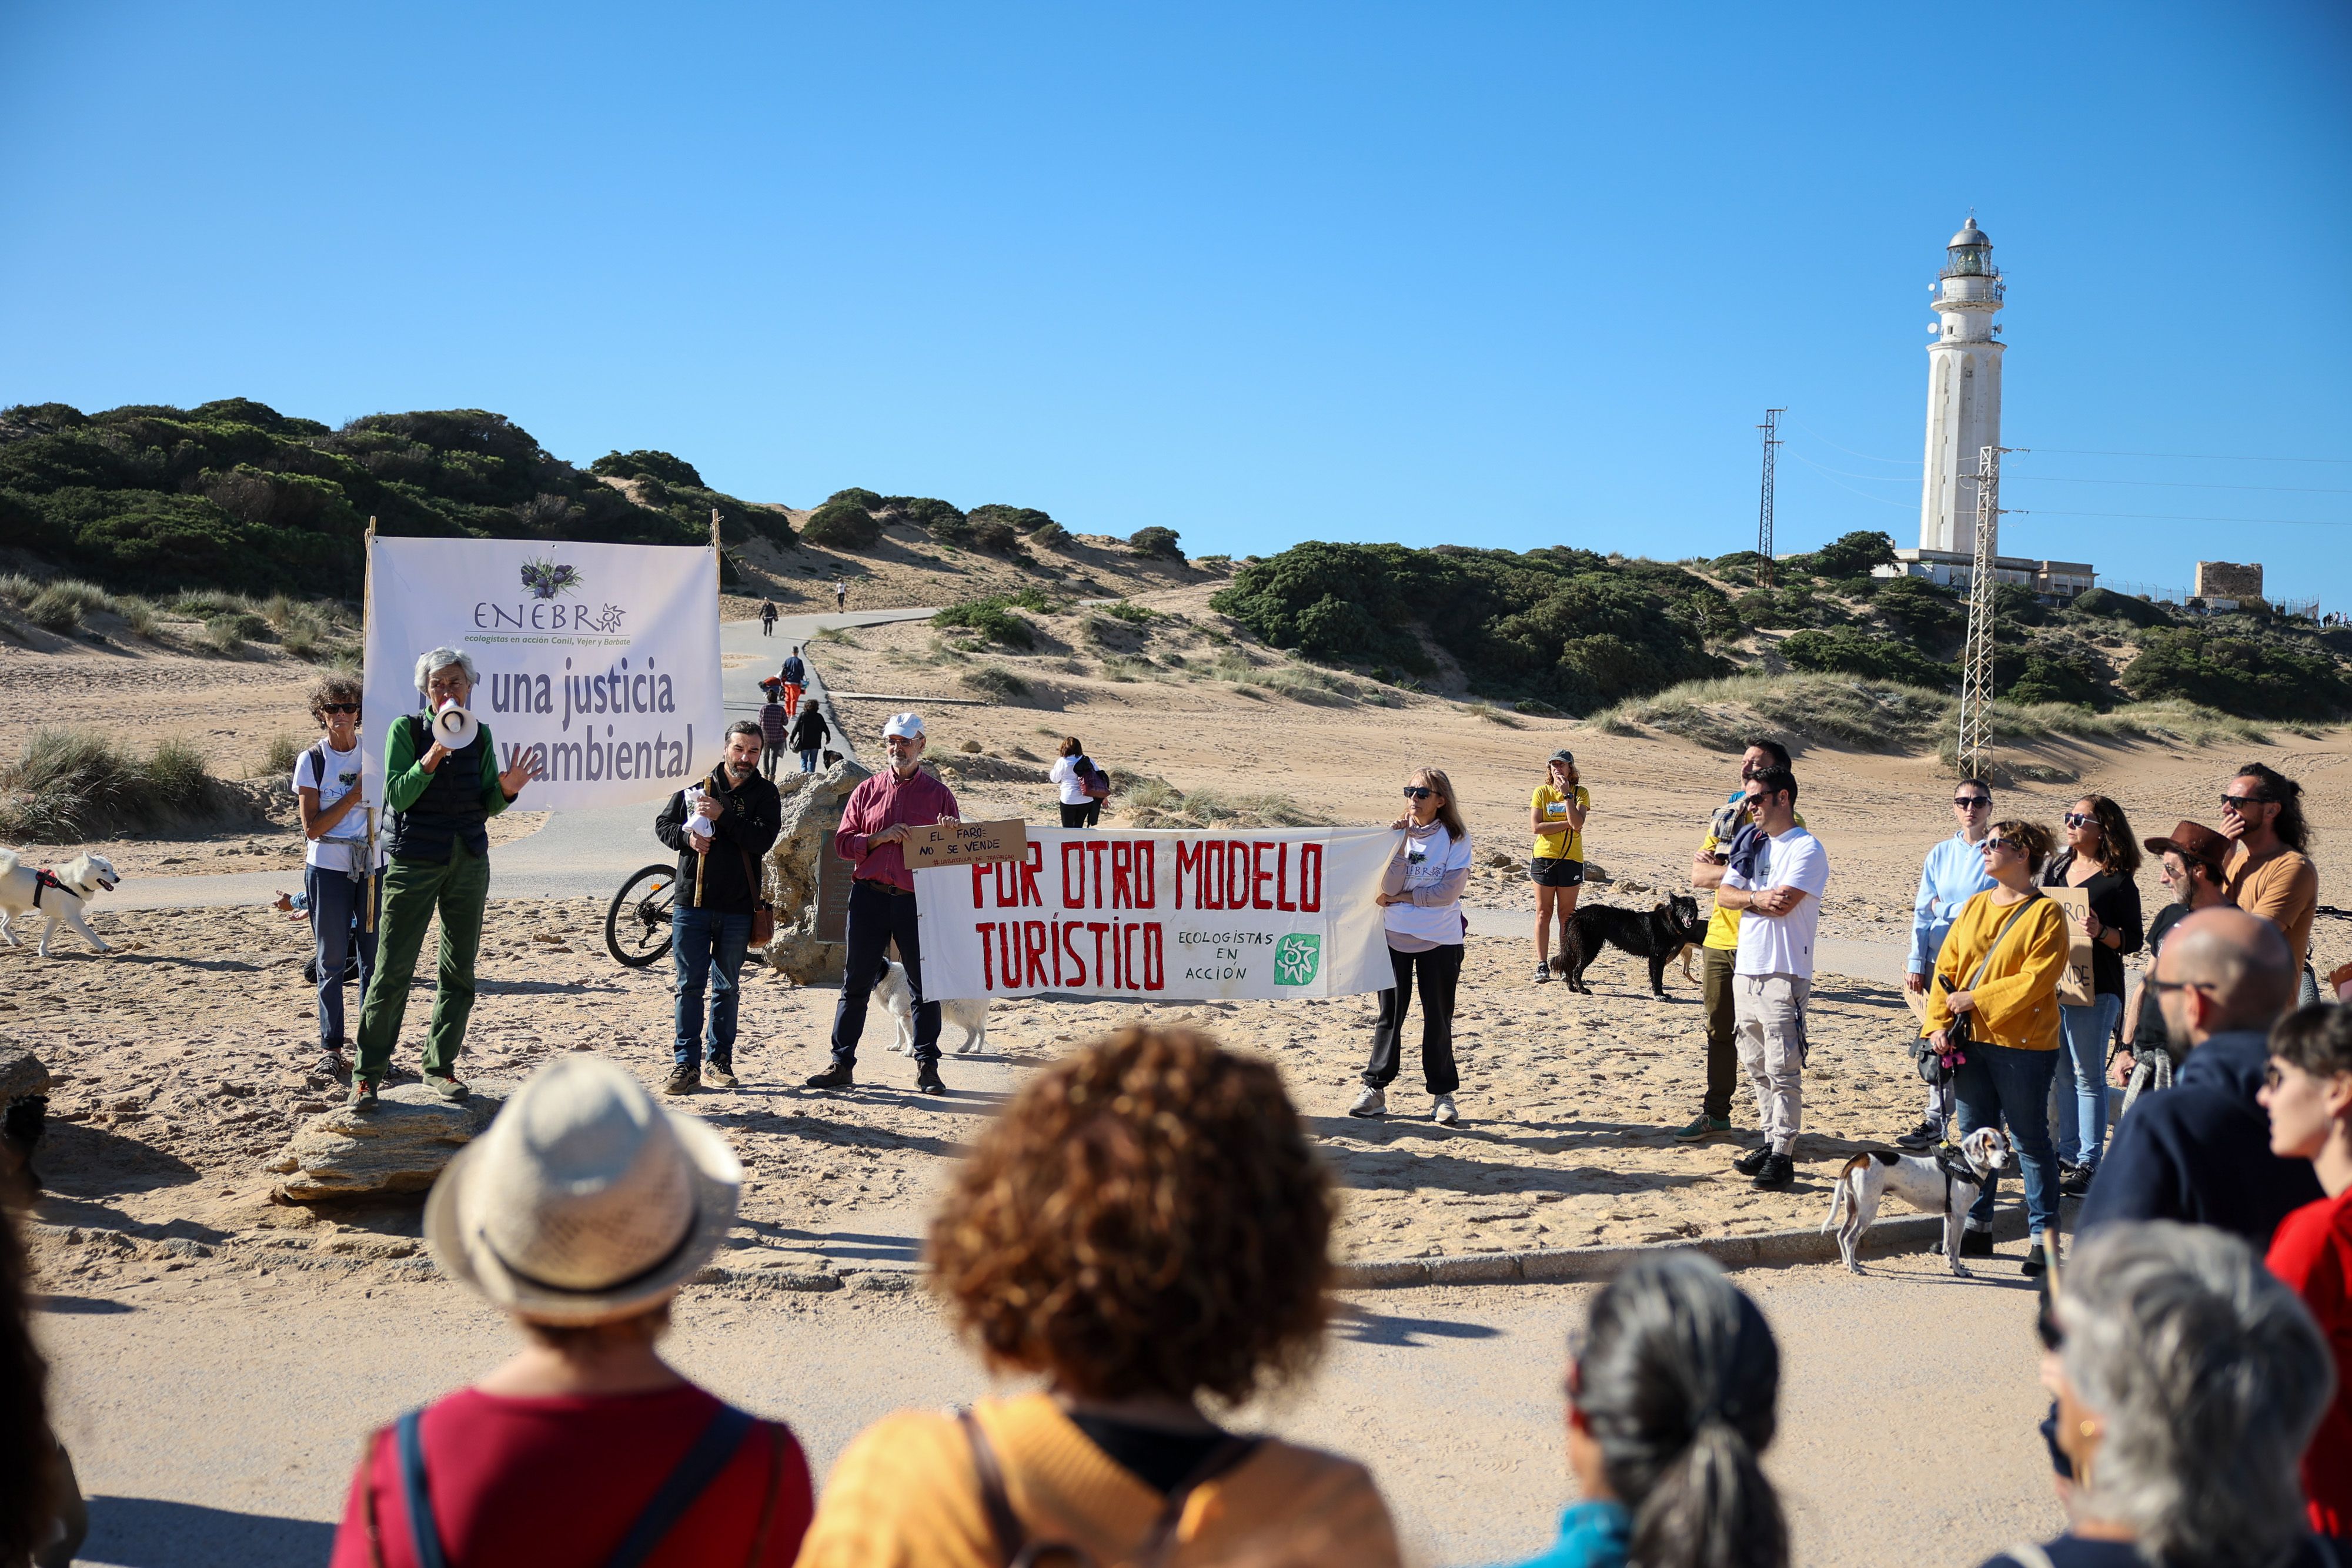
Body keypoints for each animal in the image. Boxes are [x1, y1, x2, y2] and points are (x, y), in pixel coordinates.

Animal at [0, 846, 122, 959]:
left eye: (112, 869)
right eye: (104, 870)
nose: (118, 879)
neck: (76, 880)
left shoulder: (56, 917)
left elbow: (47, 936)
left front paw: (43, 952)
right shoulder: (73, 918)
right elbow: (91, 934)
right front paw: (103, 947)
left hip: (16, 910)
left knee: (3, 925)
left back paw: (15, 941)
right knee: (3, 925)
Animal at [884, 959, 993, 1053]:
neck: (887, 976)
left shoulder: (904, 1016)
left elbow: (909, 1036)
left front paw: (908, 1052)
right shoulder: (899, 1016)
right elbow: (900, 1034)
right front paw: (896, 1047)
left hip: (961, 1014)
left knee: (973, 1031)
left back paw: (964, 1048)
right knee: (982, 1031)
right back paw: (977, 1049)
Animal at [1552, 893, 1703, 992]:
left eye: (1693, 907)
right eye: (1682, 907)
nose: (1691, 915)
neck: (1668, 922)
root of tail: (1577, 914)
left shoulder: (1660, 958)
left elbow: (1658, 978)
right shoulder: (1656, 957)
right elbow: (1657, 978)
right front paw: (1659, 995)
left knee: (1570, 968)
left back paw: (1572, 988)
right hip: (1589, 950)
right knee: (1577, 971)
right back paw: (1583, 990)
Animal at [1816, 1133, 2023, 1279]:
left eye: (2006, 1146)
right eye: (1991, 1146)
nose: (2006, 1159)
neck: (1969, 1165)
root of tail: (1857, 1159)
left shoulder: (1949, 1216)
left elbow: (1948, 1246)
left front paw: (1951, 1265)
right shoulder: (1960, 1216)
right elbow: (1955, 1248)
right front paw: (1959, 1271)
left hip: (1853, 1208)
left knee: (1841, 1235)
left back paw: (1847, 1262)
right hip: (1867, 1211)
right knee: (1850, 1239)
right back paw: (1854, 1268)